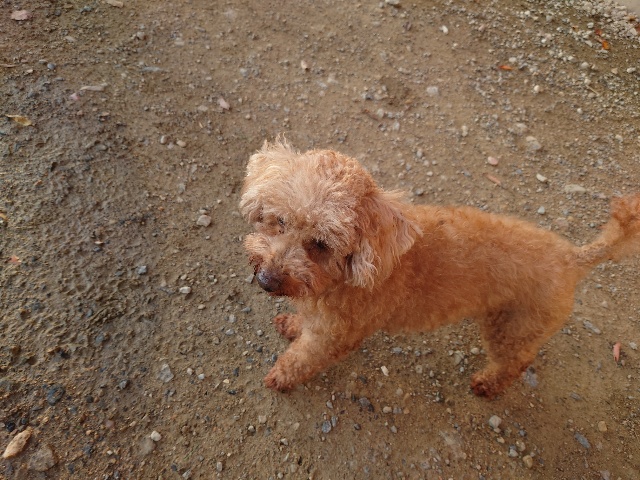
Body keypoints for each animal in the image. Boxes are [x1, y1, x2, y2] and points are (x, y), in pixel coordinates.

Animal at [240, 139, 640, 398]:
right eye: (279, 221)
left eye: (321, 244)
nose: (266, 280)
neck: (343, 278)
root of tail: (572, 257)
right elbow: (302, 324)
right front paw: (291, 324)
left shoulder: (333, 336)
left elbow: (302, 358)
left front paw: (281, 377)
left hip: (511, 327)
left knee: (517, 362)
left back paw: (488, 385)